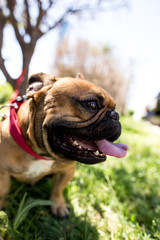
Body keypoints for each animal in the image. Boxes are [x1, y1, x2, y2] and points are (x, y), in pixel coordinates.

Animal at [0, 73, 128, 218]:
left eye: (114, 109)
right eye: (92, 104)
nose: (115, 115)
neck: (41, 154)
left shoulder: (67, 170)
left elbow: (58, 188)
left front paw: (58, 205)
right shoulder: (2, 173)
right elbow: (3, 192)